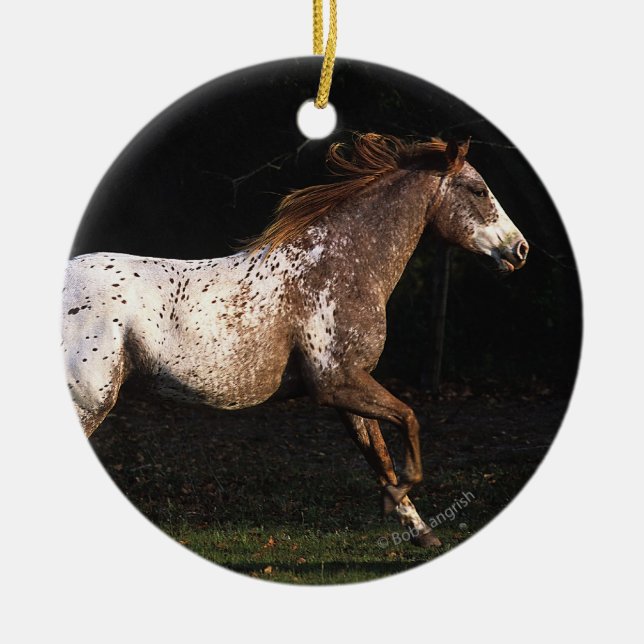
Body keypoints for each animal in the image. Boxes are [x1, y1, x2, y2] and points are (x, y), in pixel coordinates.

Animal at [62, 133, 528, 547]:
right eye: (479, 189)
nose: (520, 250)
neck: (339, 266)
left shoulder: (350, 391)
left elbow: (381, 458)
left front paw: (419, 530)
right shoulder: (336, 383)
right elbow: (409, 420)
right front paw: (399, 505)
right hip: (90, 403)